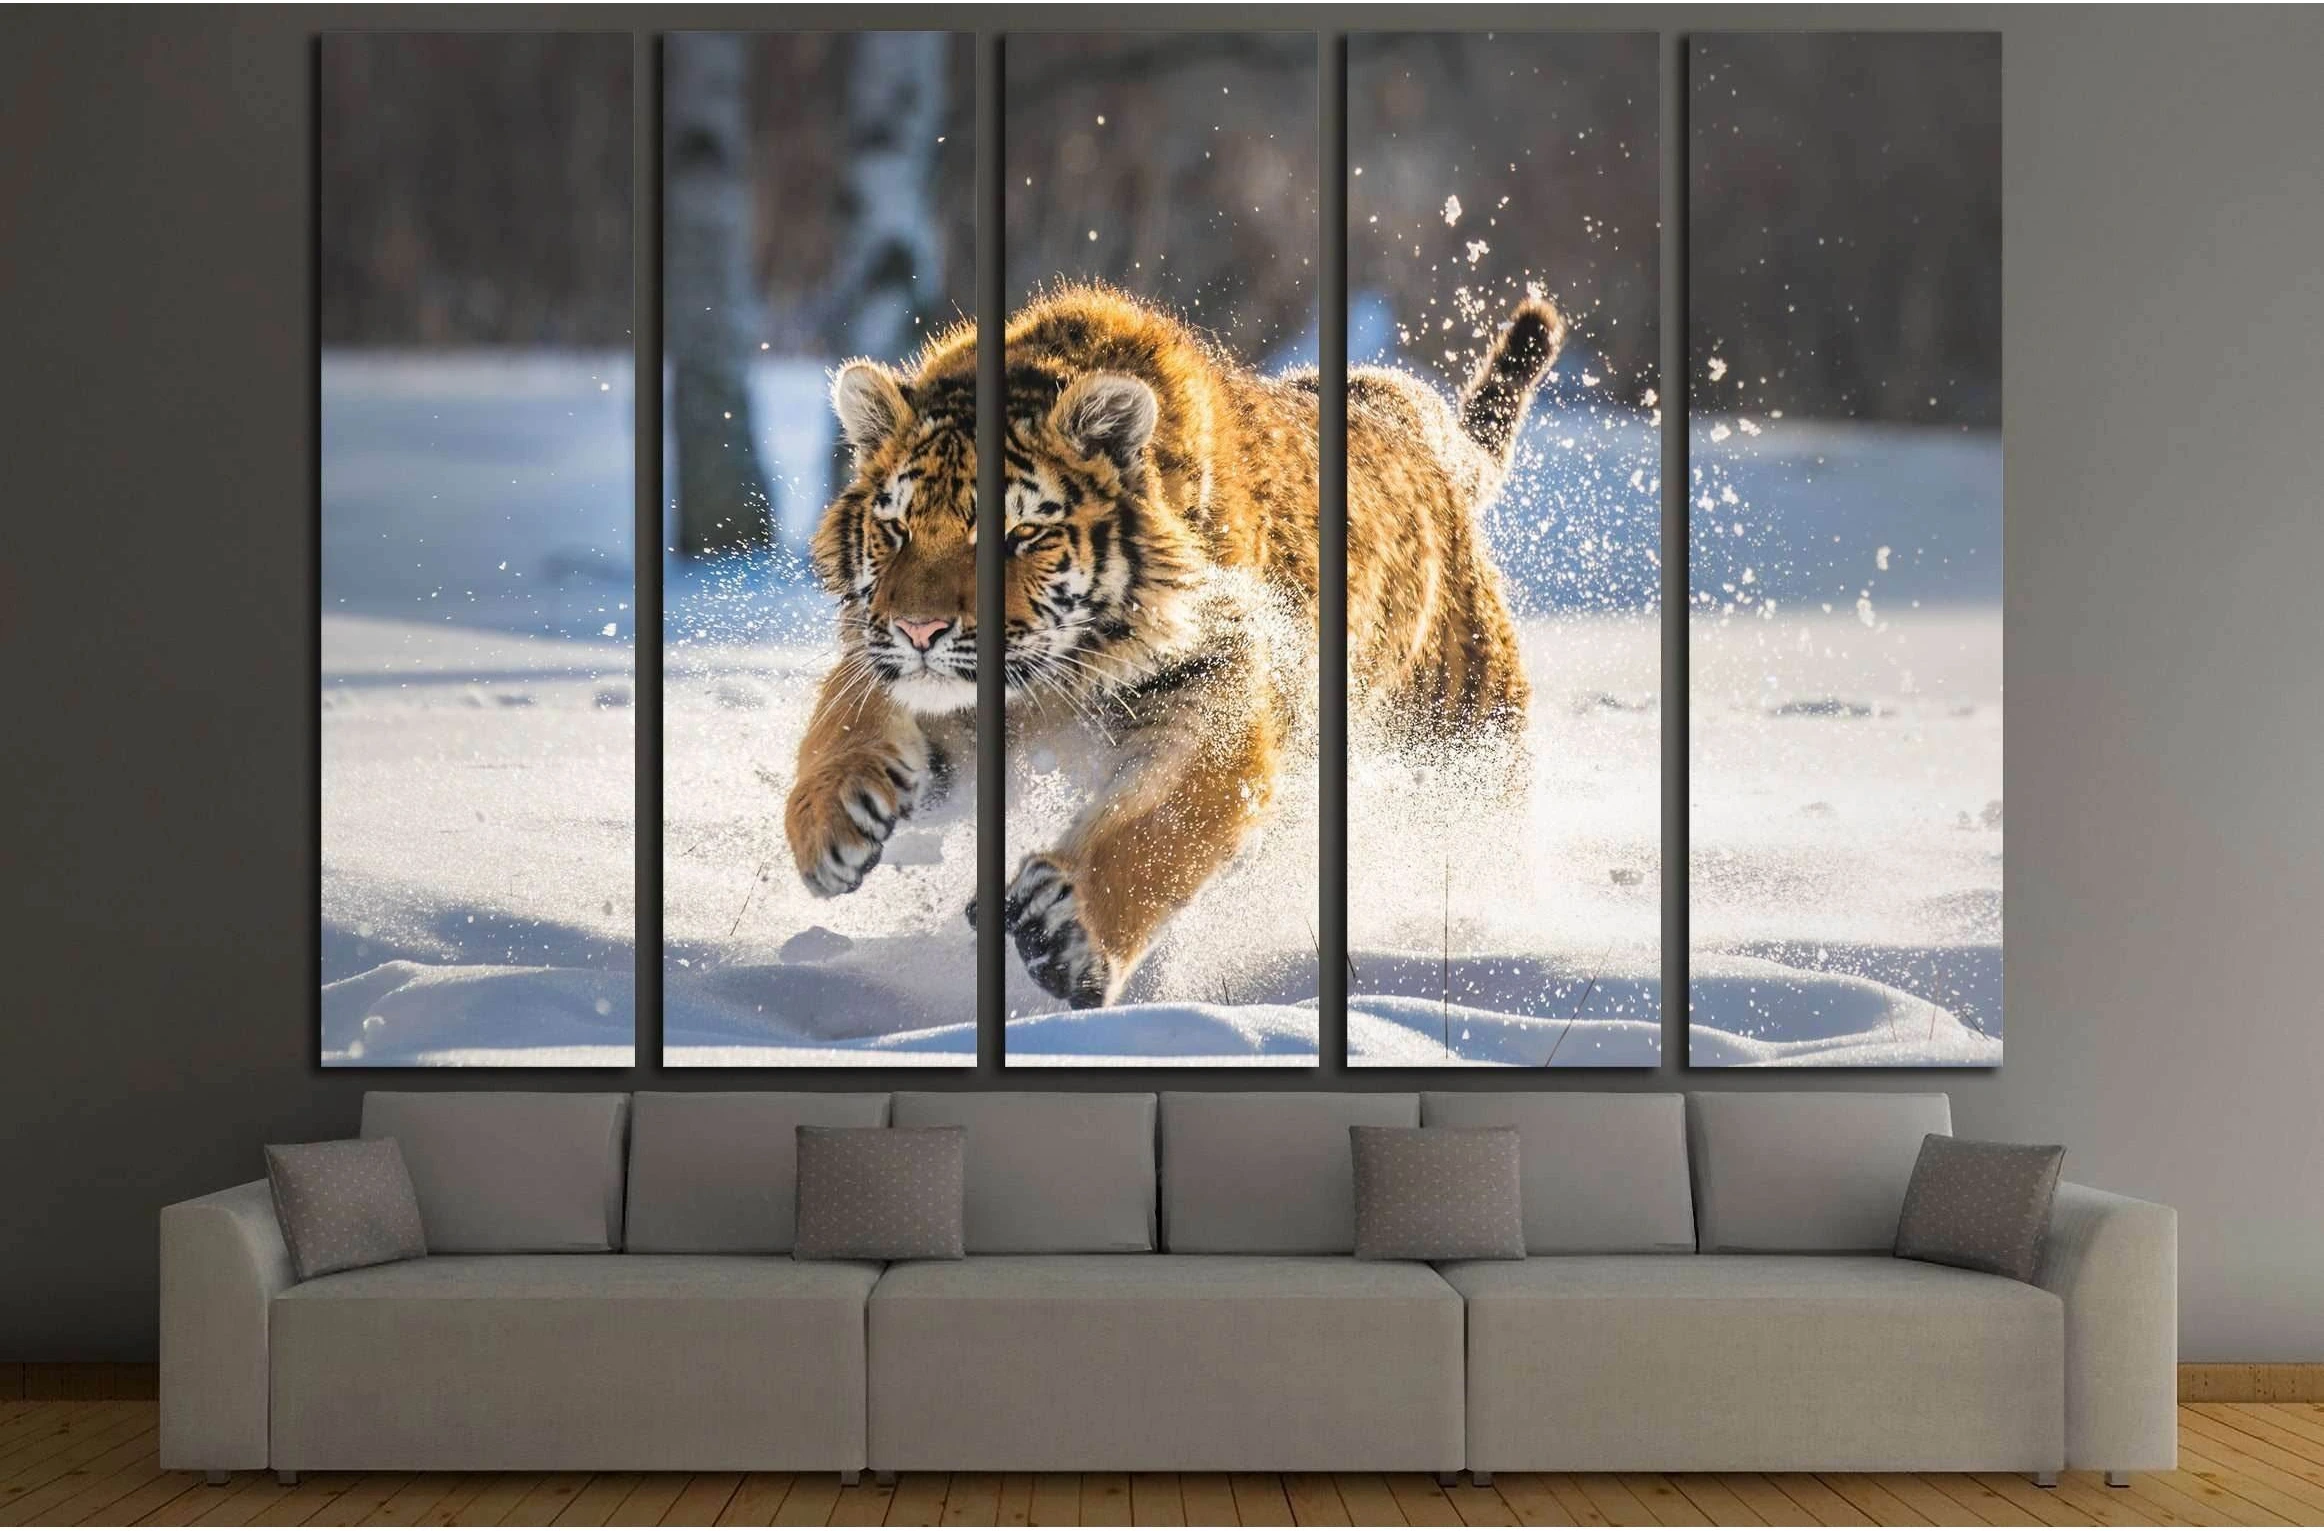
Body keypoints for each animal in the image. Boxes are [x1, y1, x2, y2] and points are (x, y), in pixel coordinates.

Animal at [785, 282, 1562, 1008]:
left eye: (1020, 534)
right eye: (896, 527)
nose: (920, 630)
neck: (1052, 679)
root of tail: (1413, 427)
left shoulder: (1216, 698)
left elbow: (1160, 828)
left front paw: (1065, 930)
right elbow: (844, 716)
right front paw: (828, 823)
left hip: (1464, 745)